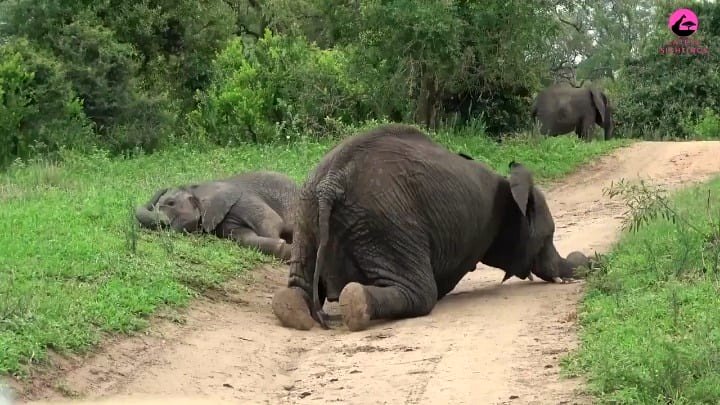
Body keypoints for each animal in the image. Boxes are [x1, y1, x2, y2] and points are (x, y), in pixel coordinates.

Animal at [270, 123, 579, 332]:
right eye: (549, 236)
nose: (582, 263)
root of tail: (331, 183)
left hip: (307, 213)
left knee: (297, 285)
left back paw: (293, 308)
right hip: (387, 224)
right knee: (422, 292)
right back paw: (356, 303)